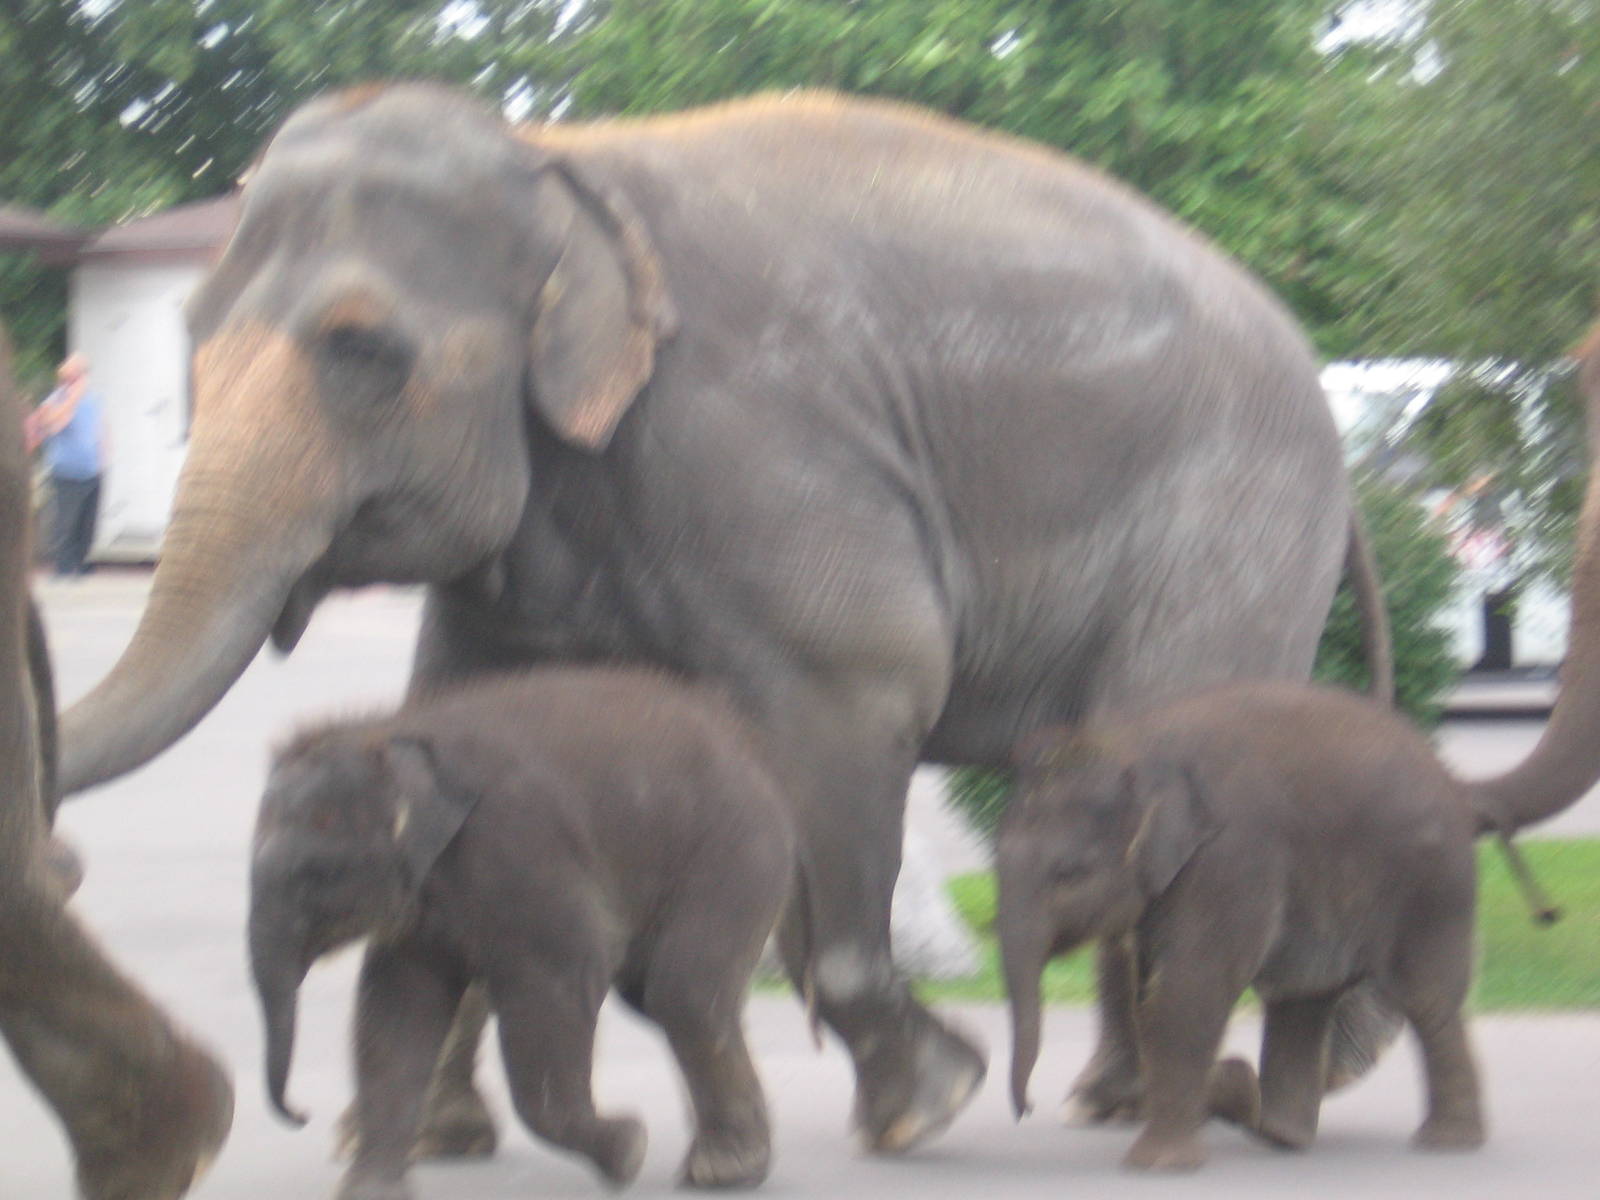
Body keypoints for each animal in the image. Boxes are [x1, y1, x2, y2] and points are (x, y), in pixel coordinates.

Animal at [249, 667, 809, 1198]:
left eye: (311, 874)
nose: (302, 1115)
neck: (389, 734)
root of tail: (748, 745)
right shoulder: (420, 904)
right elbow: (395, 1015)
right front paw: (369, 1192)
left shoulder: (522, 852)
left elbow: (556, 989)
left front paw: (629, 1148)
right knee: (668, 999)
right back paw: (726, 1164)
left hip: (738, 850)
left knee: (682, 993)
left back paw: (725, 1170)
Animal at [997, 316, 1600, 1172]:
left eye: (1070, 872)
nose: (1023, 1108)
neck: (1142, 746)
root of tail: (1450, 779)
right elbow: (1158, 986)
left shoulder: (1230, 859)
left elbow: (1187, 989)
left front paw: (1156, 1164)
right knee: (1305, 995)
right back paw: (1281, 1132)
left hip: (1434, 882)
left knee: (1426, 997)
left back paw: (1443, 1143)